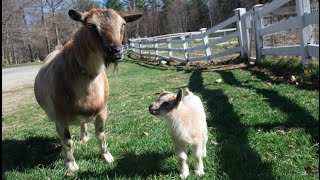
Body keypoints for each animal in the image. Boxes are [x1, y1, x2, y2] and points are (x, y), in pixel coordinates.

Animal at [33, 8, 141, 172]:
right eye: (91, 26)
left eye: (122, 24)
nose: (116, 51)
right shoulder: (60, 117)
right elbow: (67, 141)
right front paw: (71, 165)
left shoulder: (102, 110)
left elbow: (101, 134)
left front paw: (107, 157)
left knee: (82, 123)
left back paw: (84, 137)